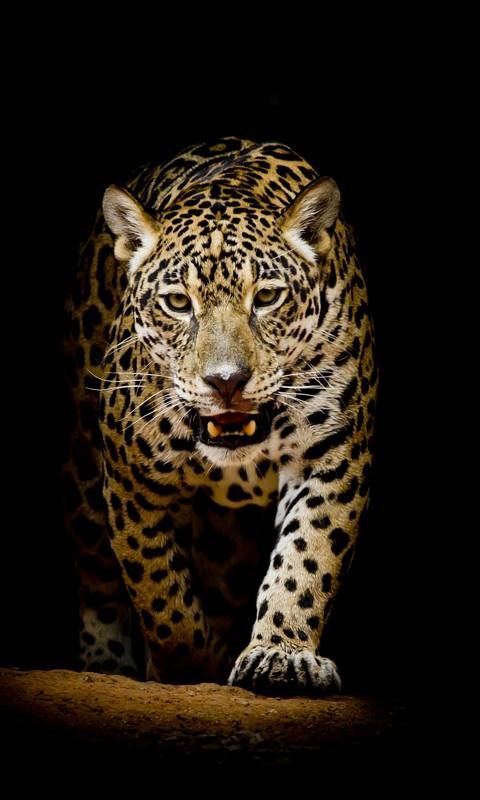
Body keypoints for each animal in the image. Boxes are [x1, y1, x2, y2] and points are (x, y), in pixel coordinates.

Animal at [62, 136, 377, 696]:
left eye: (267, 297)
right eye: (177, 302)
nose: (226, 381)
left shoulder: (332, 458)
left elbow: (307, 557)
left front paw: (280, 655)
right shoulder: (129, 480)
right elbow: (158, 589)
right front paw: (189, 664)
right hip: (82, 472)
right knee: (97, 572)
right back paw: (104, 661)